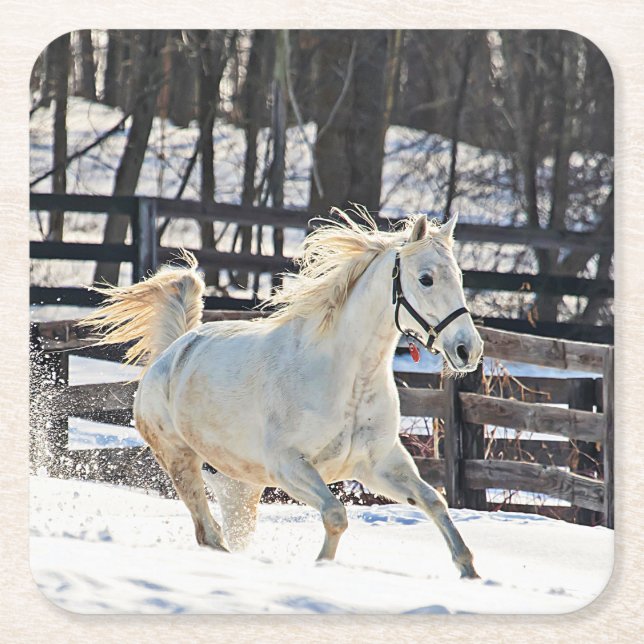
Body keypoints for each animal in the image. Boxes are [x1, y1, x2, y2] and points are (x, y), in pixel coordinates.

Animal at [81, 208, 484, 578]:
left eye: (459, 277)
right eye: (426, 279)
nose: (469, 349)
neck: (347, 379)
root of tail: (171, 352)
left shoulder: (378, 464)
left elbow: (434, 501)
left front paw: (470, 573)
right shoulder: (289, 465)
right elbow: (336, 514)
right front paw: (321, 567)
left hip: (240, 486)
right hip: (180, 459)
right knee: (207, 533)